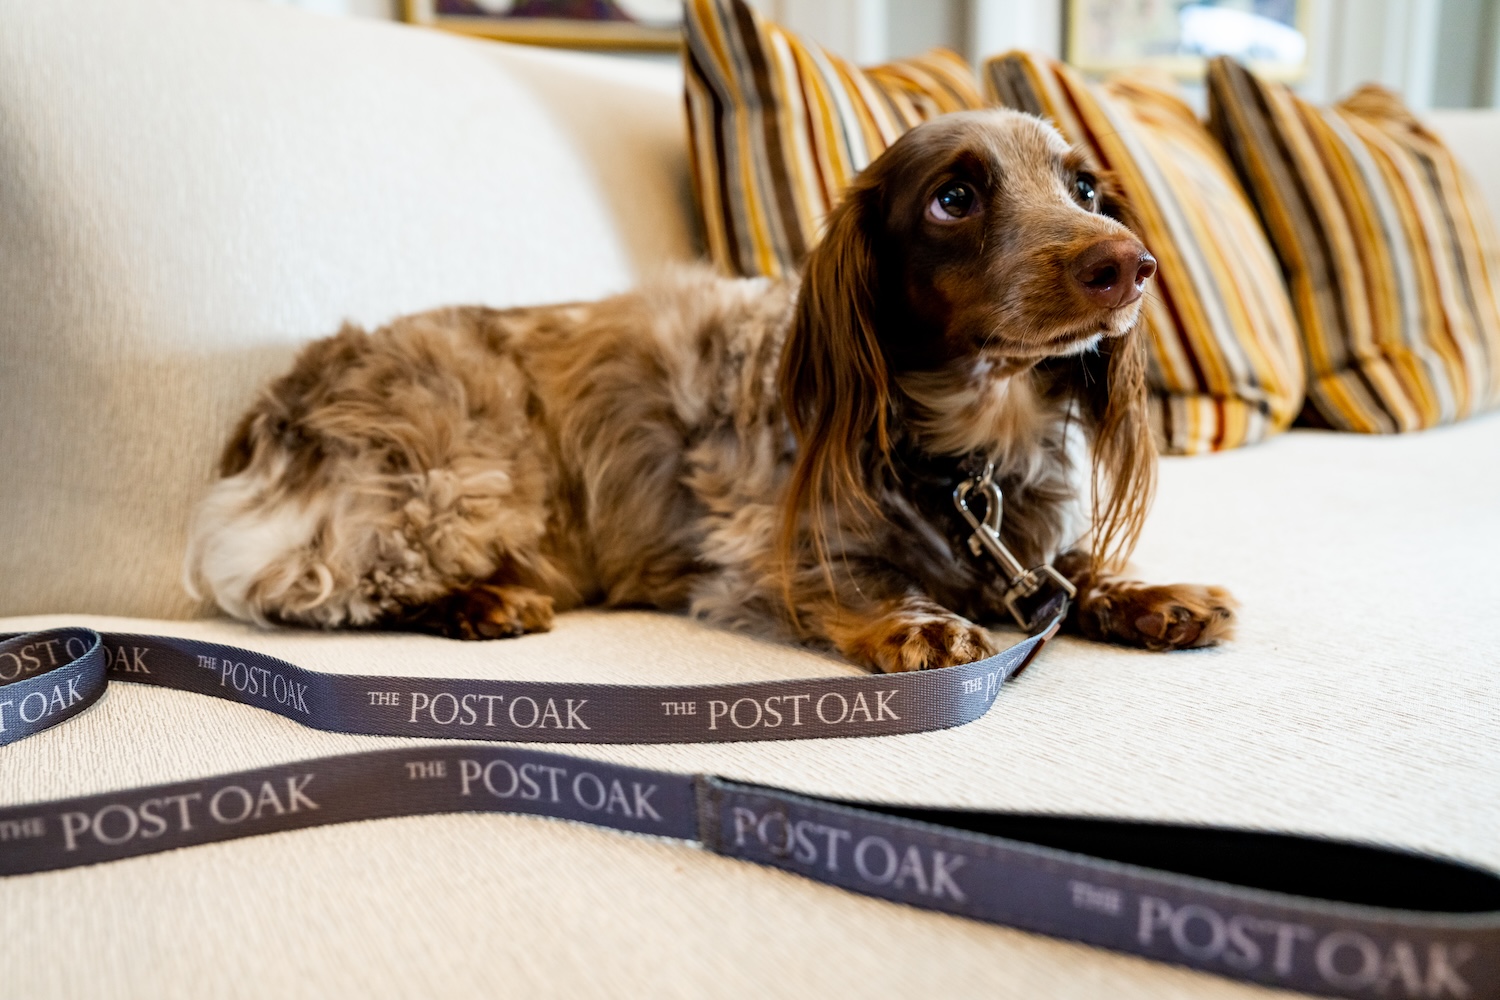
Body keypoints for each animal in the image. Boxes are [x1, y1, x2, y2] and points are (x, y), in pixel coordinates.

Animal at [187, 109, 1236, 671]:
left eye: (1084, 190)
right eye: (954, 198)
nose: (1130, 266)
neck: (961, 452)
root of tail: (278, 402)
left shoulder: (1025, 546)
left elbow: (1071, 569)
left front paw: (1153, 595)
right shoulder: (755, 555)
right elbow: (857, 578)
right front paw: (921, 622)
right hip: (461, 476)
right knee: (321, 588)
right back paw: (482, 602)